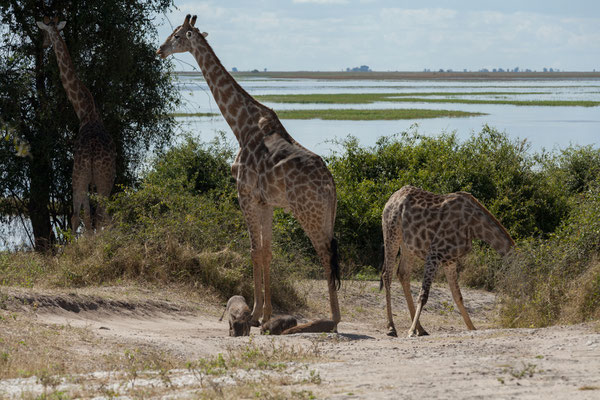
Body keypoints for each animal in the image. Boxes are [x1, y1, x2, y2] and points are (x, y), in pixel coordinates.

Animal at [36, 17, 116, 233]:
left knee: (87, 215)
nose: (43, 44)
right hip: (98, 179)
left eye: (44, 33)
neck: (86, 112)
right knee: (98, 215)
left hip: (85, 177)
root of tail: (92, 153)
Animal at [380, 186, 516, 336]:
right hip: (391, 233)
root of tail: (391, 198)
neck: (474, 227)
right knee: (387, 275)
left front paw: (472, 328)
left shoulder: (450, 260)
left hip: (407, 245)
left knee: (403, 273)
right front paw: (410, 330)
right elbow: (423, 295)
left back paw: (421, 329)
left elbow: (458, 296)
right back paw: (391, 327)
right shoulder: (434, 252)